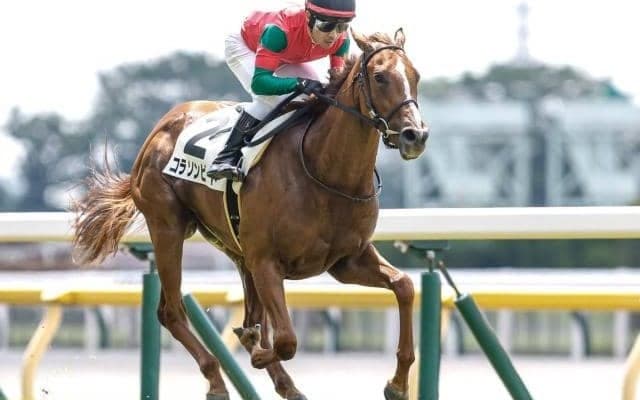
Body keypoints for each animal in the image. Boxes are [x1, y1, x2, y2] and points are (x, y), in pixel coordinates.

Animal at [72, 29, 429, 400]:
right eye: (380, 77)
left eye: (416, 76)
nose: (415, 135)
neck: (326, 172)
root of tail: (161, 127)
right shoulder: (267, 261)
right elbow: (286, 340)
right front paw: (257, 353)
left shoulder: (347, 260)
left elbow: (404, 286)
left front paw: (398, 384)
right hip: (168, 227)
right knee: (171, 311)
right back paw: (217, 379)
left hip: (232, 244)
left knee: (244, 315)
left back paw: (281, 379)